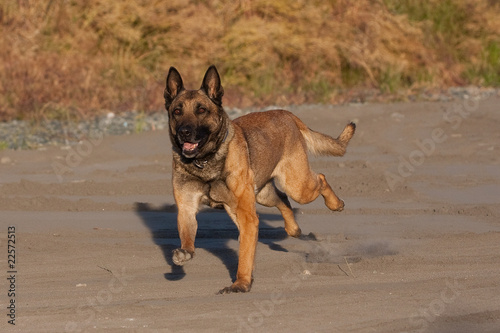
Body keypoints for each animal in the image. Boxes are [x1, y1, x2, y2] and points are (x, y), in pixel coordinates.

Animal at [164, 65, 356, 294]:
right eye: (177, 112)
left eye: (201, 110)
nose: (184, 132)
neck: (205, 161)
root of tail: (287, 114)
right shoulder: (187, 209)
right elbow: (187, 237)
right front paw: (184, 253)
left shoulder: (247, 217)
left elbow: (245, 255)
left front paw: (241, 283)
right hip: (263, 195)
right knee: (283, 200)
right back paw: (293, 228)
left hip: (297, 186)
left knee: (320, 179)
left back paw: (335, 204)